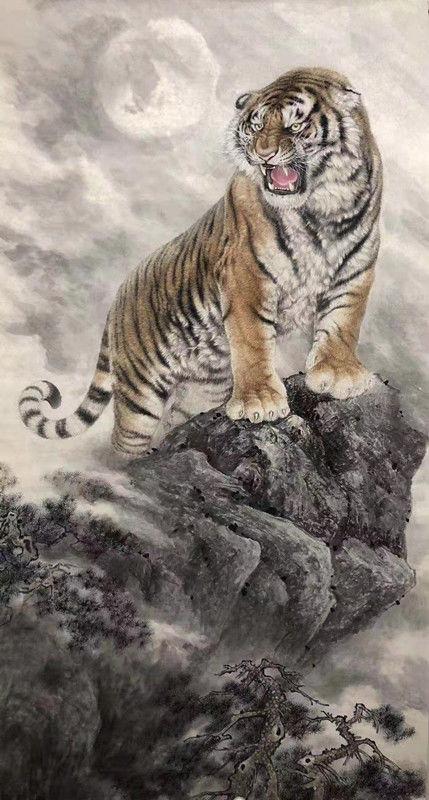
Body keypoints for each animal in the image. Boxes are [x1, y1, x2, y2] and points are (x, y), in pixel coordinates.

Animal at [19, 67, 382, 457]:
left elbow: (343, 323)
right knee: (124, 442)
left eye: (295, 125)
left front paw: (339, 375)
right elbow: (253, 343)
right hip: (140, 395)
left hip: (201, 392)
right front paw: (259, 403)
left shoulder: (356, 270)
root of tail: (117, 297)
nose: (263, 155)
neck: (323, 209)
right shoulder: (246, 275)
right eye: (255, 126)